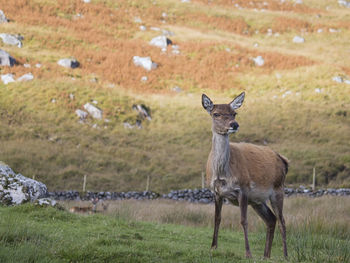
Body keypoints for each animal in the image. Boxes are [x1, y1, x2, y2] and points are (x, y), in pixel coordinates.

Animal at [201, 93, 288, 260]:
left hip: (278, 189)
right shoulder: (216, 192)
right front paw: (213, 247)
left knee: (282, 221)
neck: (222, 173)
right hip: (258, 200)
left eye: (234, 113)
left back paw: (286, 256)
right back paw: (266, 256)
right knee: (271, 219)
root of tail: (283, 160)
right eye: (216, 114)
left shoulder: (243, 189)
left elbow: (243, 221)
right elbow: (217, 218)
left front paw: (248, 253)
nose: (234, 124)